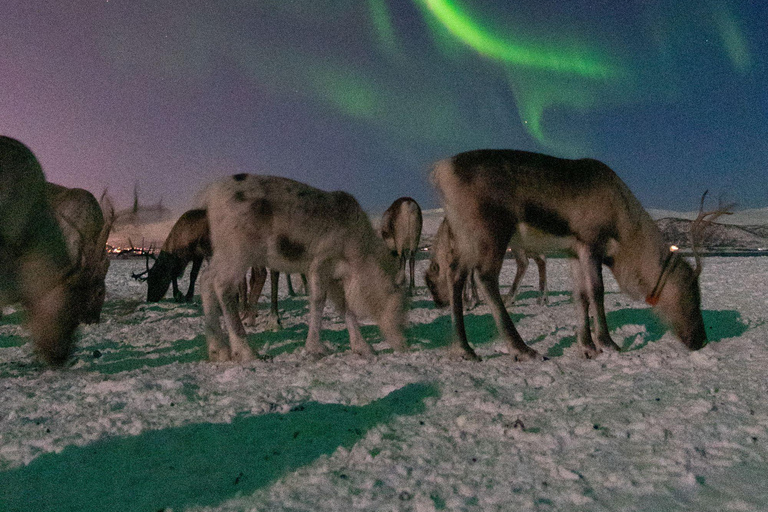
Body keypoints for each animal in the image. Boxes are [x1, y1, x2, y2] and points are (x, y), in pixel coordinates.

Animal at [198, 174, 406, 362]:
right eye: (399, 307)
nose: (404, 344)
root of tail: (209, 196)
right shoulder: (320, 264)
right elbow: (318, 301)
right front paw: (315, 347)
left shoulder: (335, 275)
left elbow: (345, 307)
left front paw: (362, 347)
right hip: (238, 253)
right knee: (222, 286)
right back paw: (245, 351)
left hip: (223, 254)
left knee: (206, 280)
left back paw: (217, 350)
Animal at [425, 149, 708, 361]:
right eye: (691, 293)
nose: (702, 340)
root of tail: (441, 170)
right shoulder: (590, 244)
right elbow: (596, 291)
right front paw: (607, 342)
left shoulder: (573, 252)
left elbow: (580, 296)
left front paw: (586, 345)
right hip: (491, 232)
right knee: (485, 277)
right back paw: (522, 348)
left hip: (465, 238)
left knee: (455, 274)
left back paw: (465, 348)